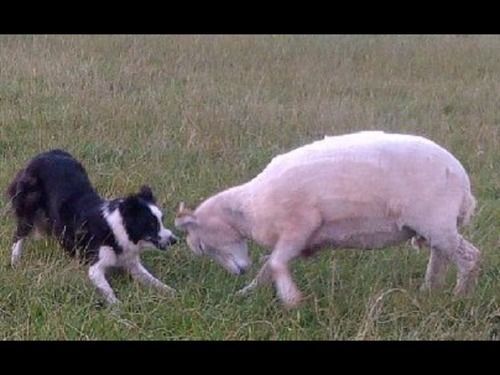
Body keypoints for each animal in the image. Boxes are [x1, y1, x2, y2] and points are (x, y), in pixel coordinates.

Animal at [6, 150, 179, 306]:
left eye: (162, 220)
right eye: (151, 224)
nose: (174, 240)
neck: (115, 231)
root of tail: (43, 154)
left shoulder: (131, 263)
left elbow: (153, 281)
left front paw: (172, 293)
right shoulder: (95, 267)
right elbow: (108, 290)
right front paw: (118, 308)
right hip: (28, 207)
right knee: (18, 236)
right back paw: (15, 262)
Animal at [175, 131, 480, 308]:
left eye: (201, 246)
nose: (239, 272)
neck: (247, 208)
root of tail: (462, 178)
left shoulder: (300, 225)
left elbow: (274, 263)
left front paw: (291, 299)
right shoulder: (291, 238)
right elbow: (268, 267)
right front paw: (246, 293)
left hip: (436, 222)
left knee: (470, 257)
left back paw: (459, 298)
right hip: (433, 227)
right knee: (441, 257)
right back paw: (429, 291)